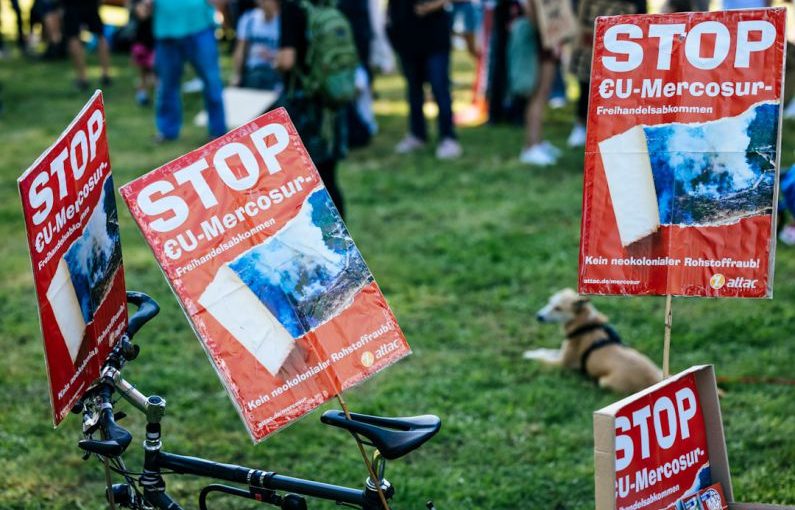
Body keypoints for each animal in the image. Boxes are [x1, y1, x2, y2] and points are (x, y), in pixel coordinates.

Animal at [524, 288, 664, 392]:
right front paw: (531, 352)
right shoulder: (561, 353)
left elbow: (542, 360)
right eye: (549, 302)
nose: (538, 316)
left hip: (604, 381)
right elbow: (545, 351)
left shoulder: (563, 364)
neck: (584, 323)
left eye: (558, 308)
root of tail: (655, 381)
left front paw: (528, 357)